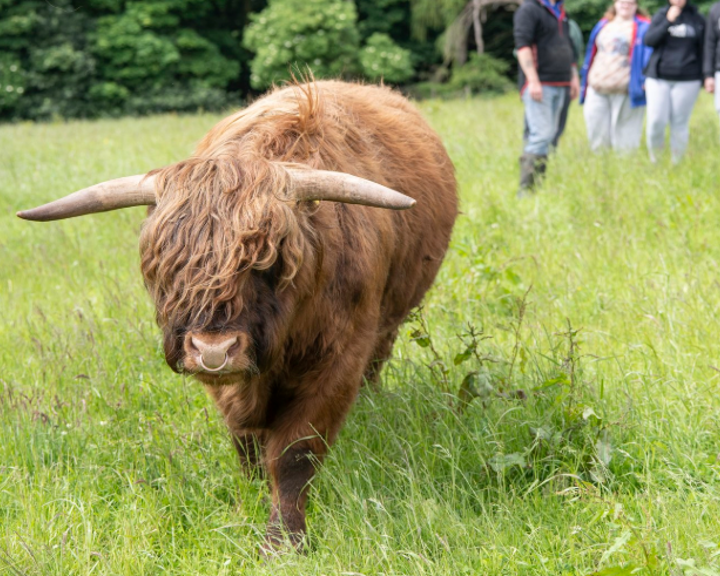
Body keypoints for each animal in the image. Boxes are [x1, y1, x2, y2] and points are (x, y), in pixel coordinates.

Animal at [17, 80, 458, 552]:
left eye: (270, 262)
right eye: (164, 266)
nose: (214, 350)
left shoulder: (339, 358)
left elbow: (294, 454)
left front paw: (283, 540)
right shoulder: (230, 385)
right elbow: (247, 443)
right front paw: (252, 494)